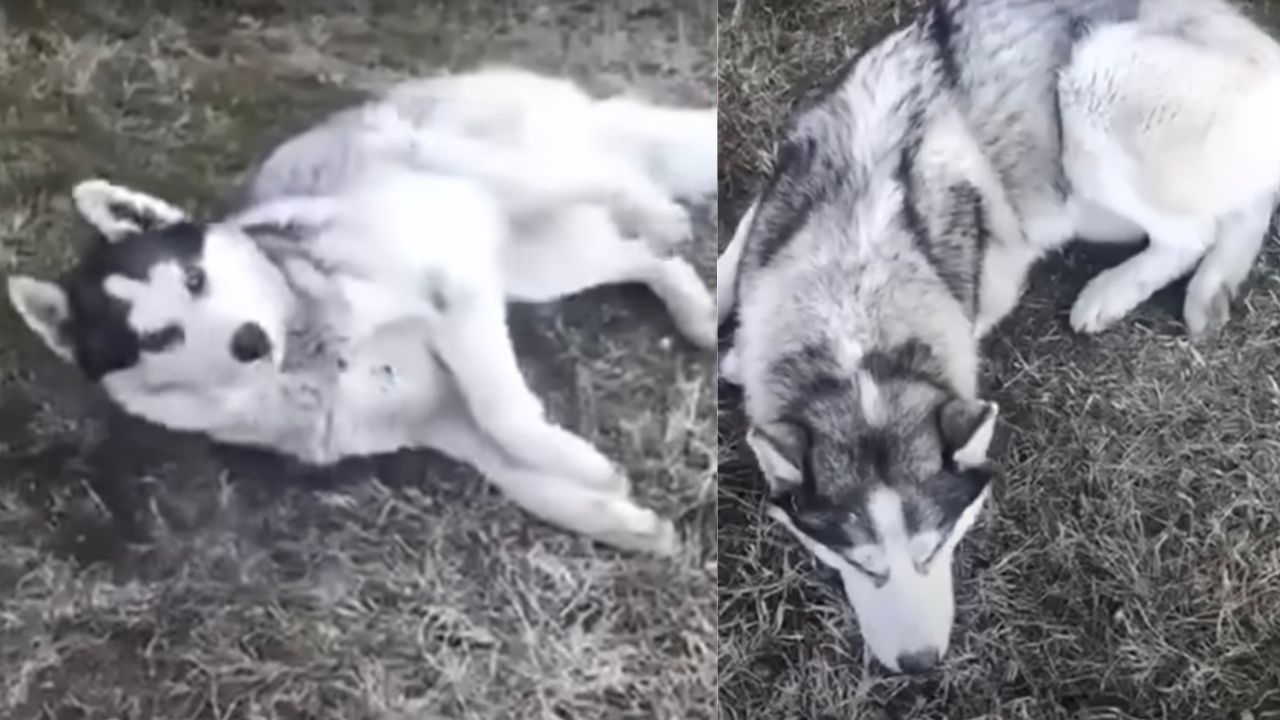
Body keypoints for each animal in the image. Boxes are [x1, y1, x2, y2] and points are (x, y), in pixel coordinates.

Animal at [7, 67, 721, 550]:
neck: (314, 350)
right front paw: (616, 514)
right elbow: (523, 479)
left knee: (608, 182)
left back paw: (654, 210)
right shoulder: (443, 421)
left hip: (484, 181)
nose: (248, 340)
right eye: (158, 337)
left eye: (193, 276)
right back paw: (696, 310)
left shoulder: (455, 286)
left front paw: (585, 466)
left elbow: (507, 414)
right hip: (536, 263)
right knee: (642, 258)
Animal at [721, 0, 1280, 671]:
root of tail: (1252, 35)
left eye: (936, 548)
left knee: (1194, 231)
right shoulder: (766, 212)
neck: (853, 277)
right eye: (860, 564)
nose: (919, 666)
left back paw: (1120, 291)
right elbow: (722, 274)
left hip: (1092, 93)